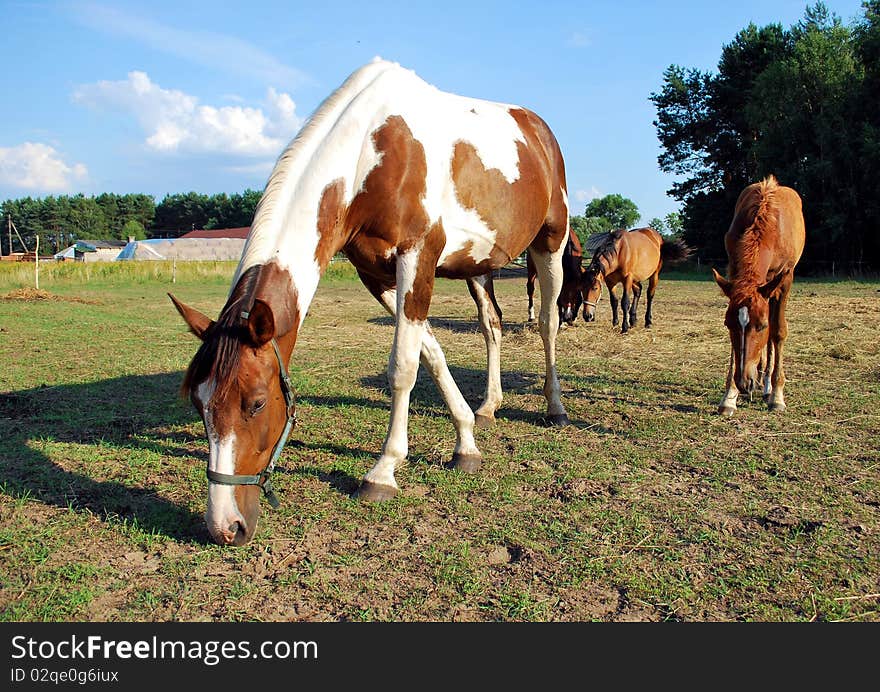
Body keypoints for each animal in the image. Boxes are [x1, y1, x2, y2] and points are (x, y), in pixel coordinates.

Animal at [169, 59, 576, 548]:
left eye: (257, 403)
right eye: (199, 404)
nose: (225, 526)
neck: (371, 151)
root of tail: (539, 130)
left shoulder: (417, 257)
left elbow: (402, 366)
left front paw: (383, 471)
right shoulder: (376, 274)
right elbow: (429, 353)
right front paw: (465, 438)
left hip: (549, 244)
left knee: (548, 323)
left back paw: (555, 408)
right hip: (478, 266)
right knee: (491, 324)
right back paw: (488, 406)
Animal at [708, 176, 804, 418]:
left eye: (760, 326)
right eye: (728, 325)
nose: (744, 382)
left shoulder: (785, 280)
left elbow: (777, 332)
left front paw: (777, 396)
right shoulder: (735, 274)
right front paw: (729, 396)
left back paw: (767, 386)